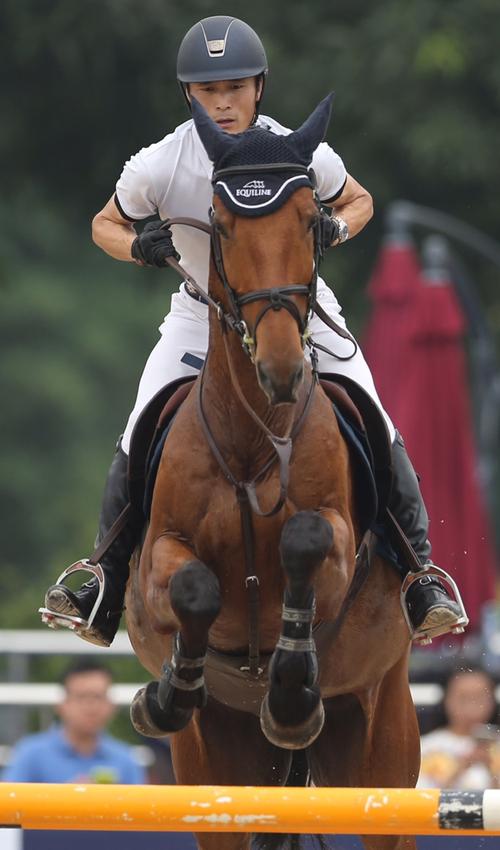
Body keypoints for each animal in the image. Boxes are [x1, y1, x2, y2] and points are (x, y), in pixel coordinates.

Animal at [124, 94, 418, 848]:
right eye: (222, 227)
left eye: (312, 219)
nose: (282, 368)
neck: (256, 442)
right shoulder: (159, 554)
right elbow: (193, 587)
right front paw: (171, 691)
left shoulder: (341, 546)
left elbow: (304, 543)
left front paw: (288, 691)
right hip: (215, 775)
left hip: (381, 751)